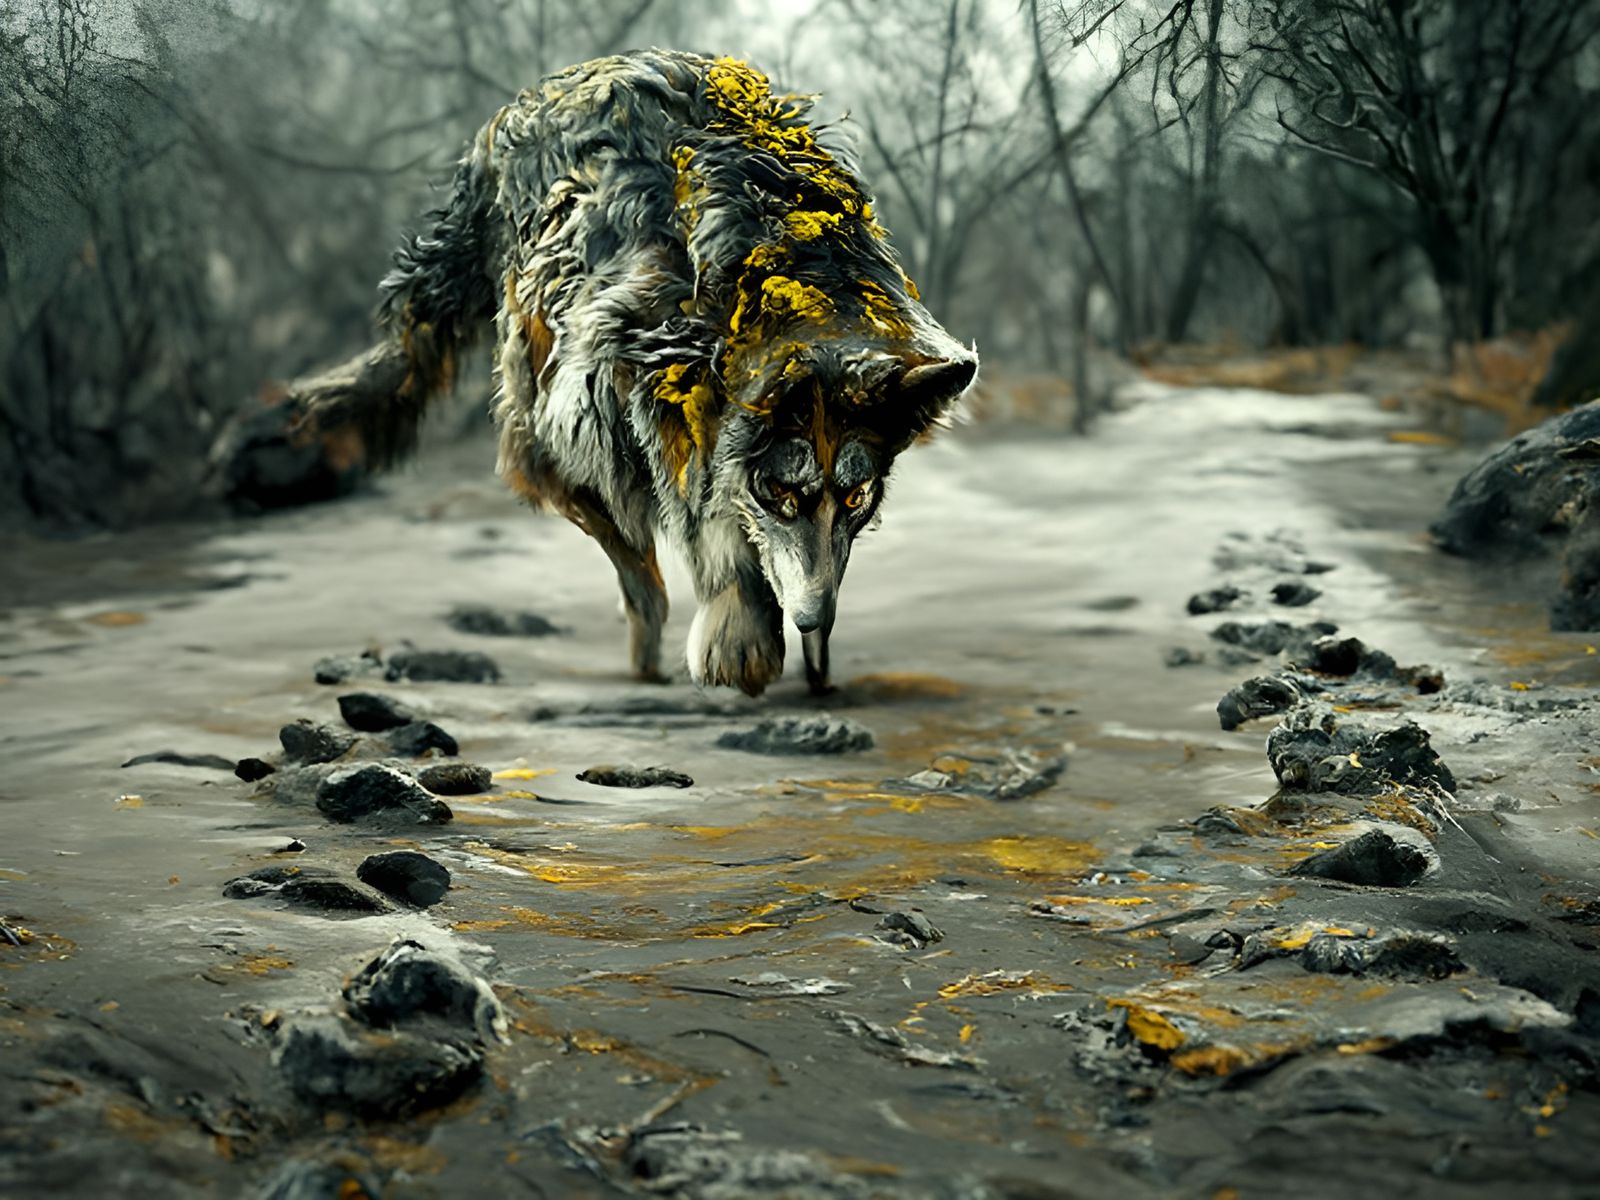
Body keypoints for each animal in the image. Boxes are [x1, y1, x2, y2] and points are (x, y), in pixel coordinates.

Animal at [293, 50, 977, 696]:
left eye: (857, 498)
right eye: (782, 494)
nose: (814, 618)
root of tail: (519, 107)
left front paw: (807, 657)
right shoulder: (601, 418)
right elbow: (698, 529)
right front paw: (737, 635)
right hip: (544, 399)